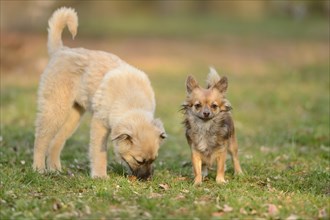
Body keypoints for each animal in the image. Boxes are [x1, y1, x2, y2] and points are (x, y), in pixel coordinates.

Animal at [33, 7, 165, 180]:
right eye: (139, 160)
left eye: (154, 159)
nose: (147, 179)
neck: (132, 101)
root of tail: (61, 51)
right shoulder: (99, 124)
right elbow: (99, 153)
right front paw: (100, 176)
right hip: (55, 109)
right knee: (41, 139)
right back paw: (38, 169)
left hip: (73, 117)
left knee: (56, 142)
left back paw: (55, 169)